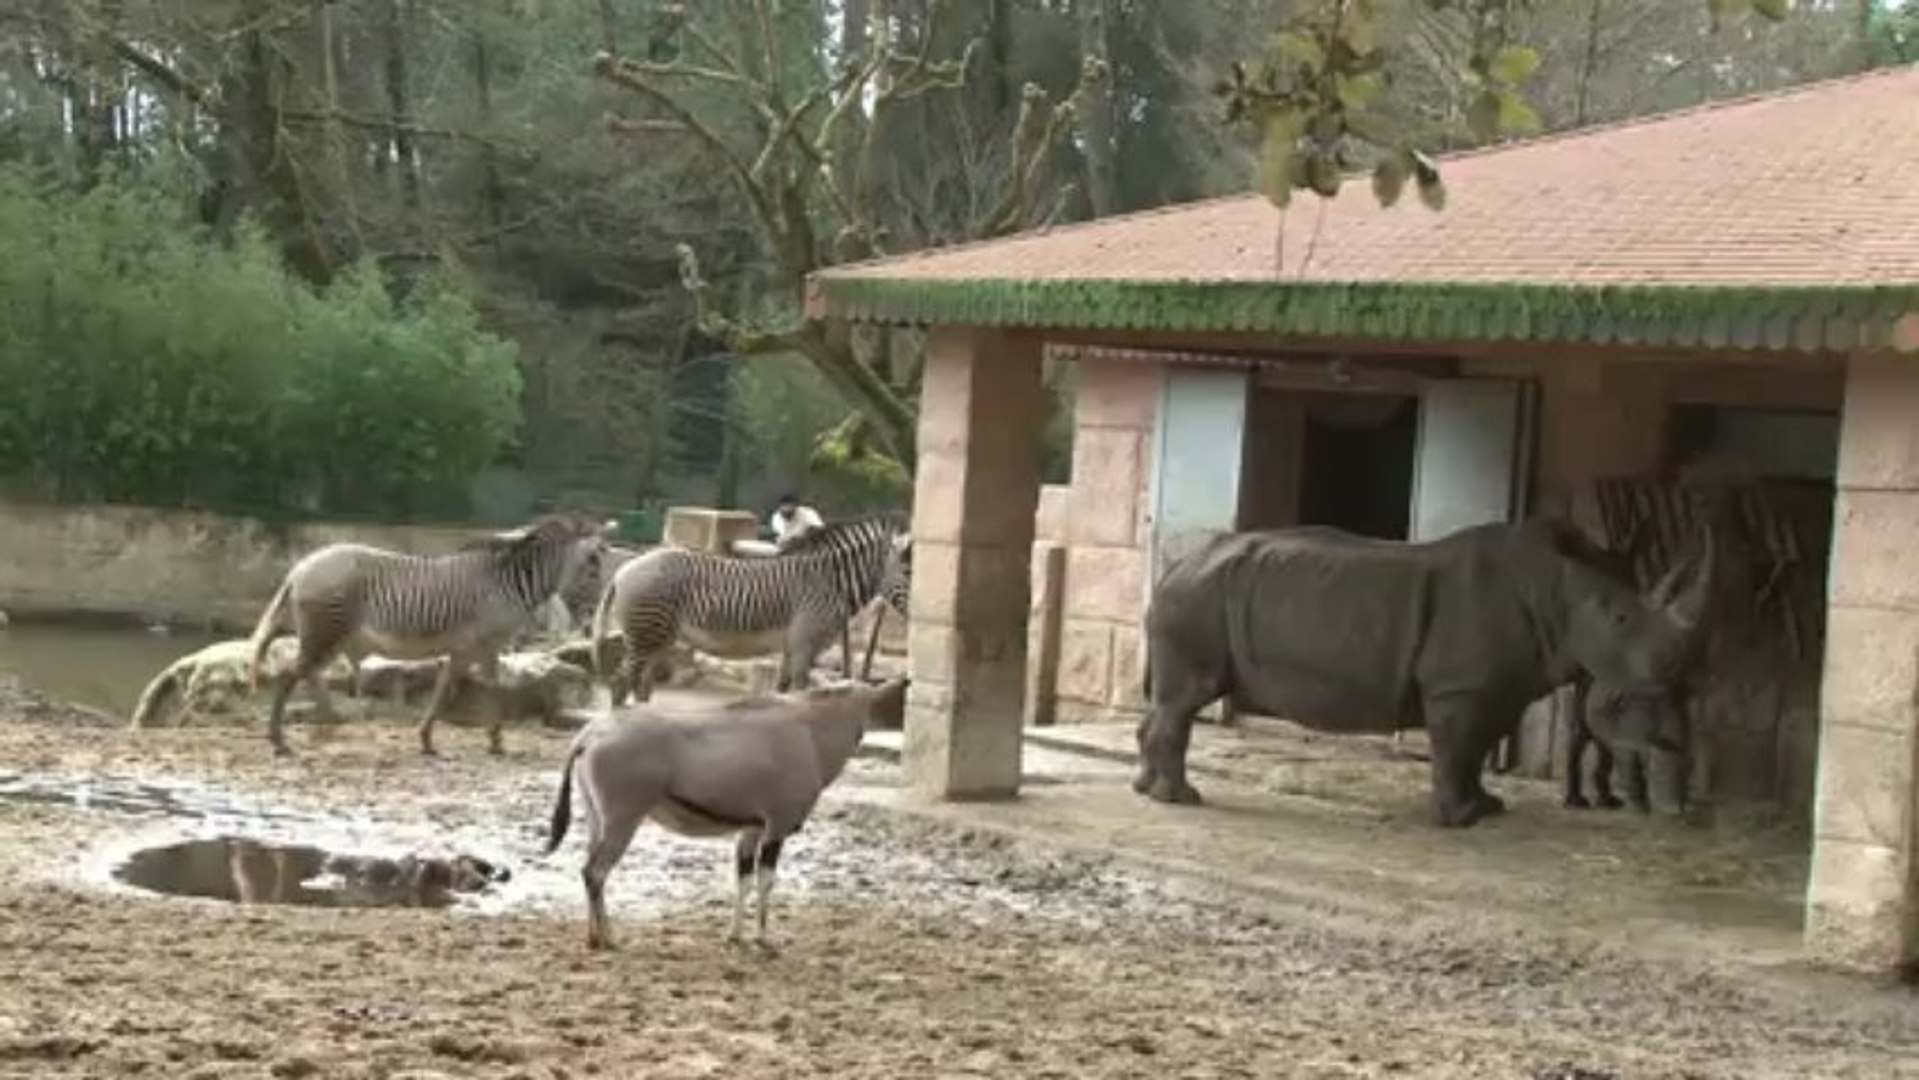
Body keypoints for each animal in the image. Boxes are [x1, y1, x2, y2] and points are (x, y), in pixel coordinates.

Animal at [243, 514, 610, 759]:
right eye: (594, 559)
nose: (599, 606)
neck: (506, 584)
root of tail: (300, 569)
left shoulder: (465, 648)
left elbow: (444, 688)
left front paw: (427, 740)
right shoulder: (487, 644)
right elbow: (491, 688)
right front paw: (496, 741)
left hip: (325, 634)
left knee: (307, 674)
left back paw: (326, 724)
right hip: (326, 631)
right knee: (291, 674)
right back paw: (280, 741)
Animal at [587, 510, 909, 705]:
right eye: (910, 572)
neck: (829, 582)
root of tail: (624, 569)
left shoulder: (793, 645)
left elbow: (782, 690)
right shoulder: (805, 644)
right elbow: (799, 692)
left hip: (659, 636)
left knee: (641, 686)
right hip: (644, 633)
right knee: (621, 683)